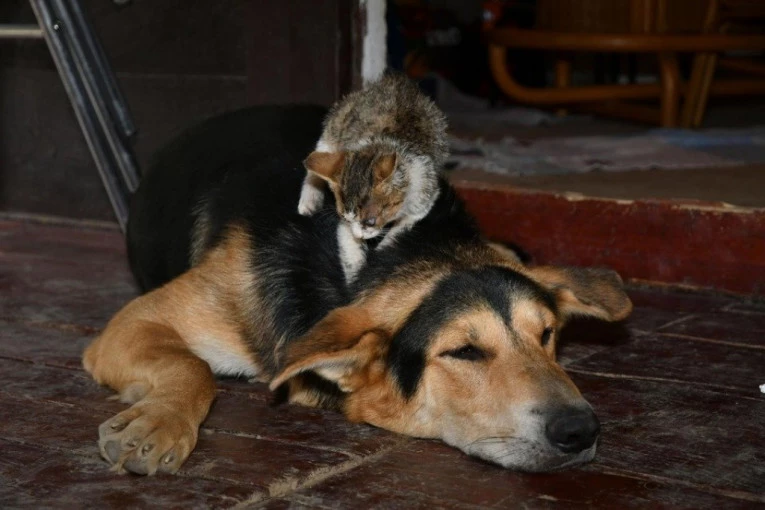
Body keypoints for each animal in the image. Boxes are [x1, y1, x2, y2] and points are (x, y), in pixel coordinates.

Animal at [82, 105, 632, 476]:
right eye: (464, 352)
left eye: (547, 336)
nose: (580, 431)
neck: (377, 254)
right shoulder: (136, 320)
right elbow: (193, 367)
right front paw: (161, 421)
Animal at [297, 73, 448, 282]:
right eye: (344, 216)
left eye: (371, 221)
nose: (360, 236)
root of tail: (395, 82)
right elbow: (346, 239)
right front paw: (356, 272)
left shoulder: (424, 191)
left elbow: (404, 225)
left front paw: (384, 246)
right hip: (335, 128)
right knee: (315, 159)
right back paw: (309, 198)